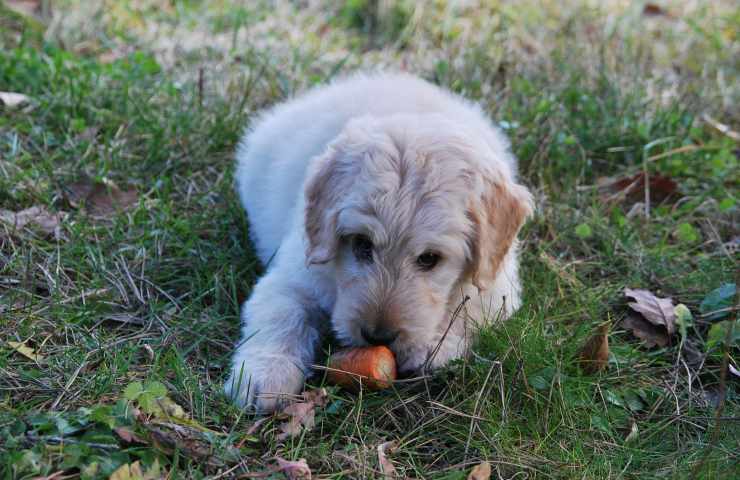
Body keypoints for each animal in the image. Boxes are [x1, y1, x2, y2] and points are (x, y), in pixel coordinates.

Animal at [225, 72, 532, 412]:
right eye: (361, 243)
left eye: (429, 258)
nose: (377, 336)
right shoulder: (294, 273)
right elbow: (281, 315)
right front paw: (264, 375)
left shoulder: (498, 286)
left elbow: (468, 309)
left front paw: (433, 345)